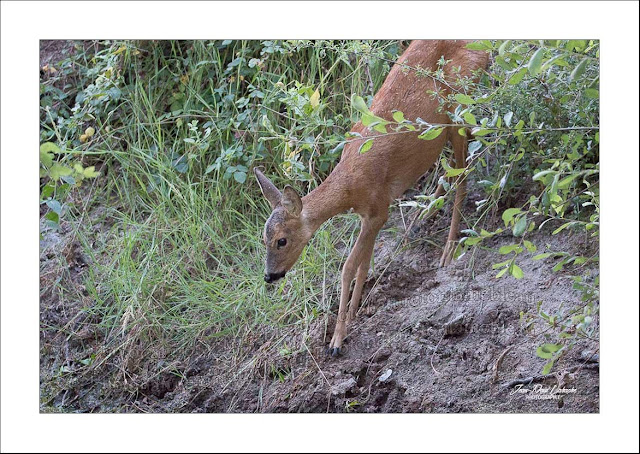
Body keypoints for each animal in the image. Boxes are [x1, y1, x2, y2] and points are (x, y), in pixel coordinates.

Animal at [252, 40, 488, 356]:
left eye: (282, 240)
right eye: (263, 238)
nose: (270, 276)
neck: (350, 187)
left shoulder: (378, 209)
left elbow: (348, 267)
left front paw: (337, 339)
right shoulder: (371, 216)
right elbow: (364, 263)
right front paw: (354, 312)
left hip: (457, 106)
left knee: (463, 175)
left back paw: (448, 250)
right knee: (454, 166)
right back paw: (422, 215)